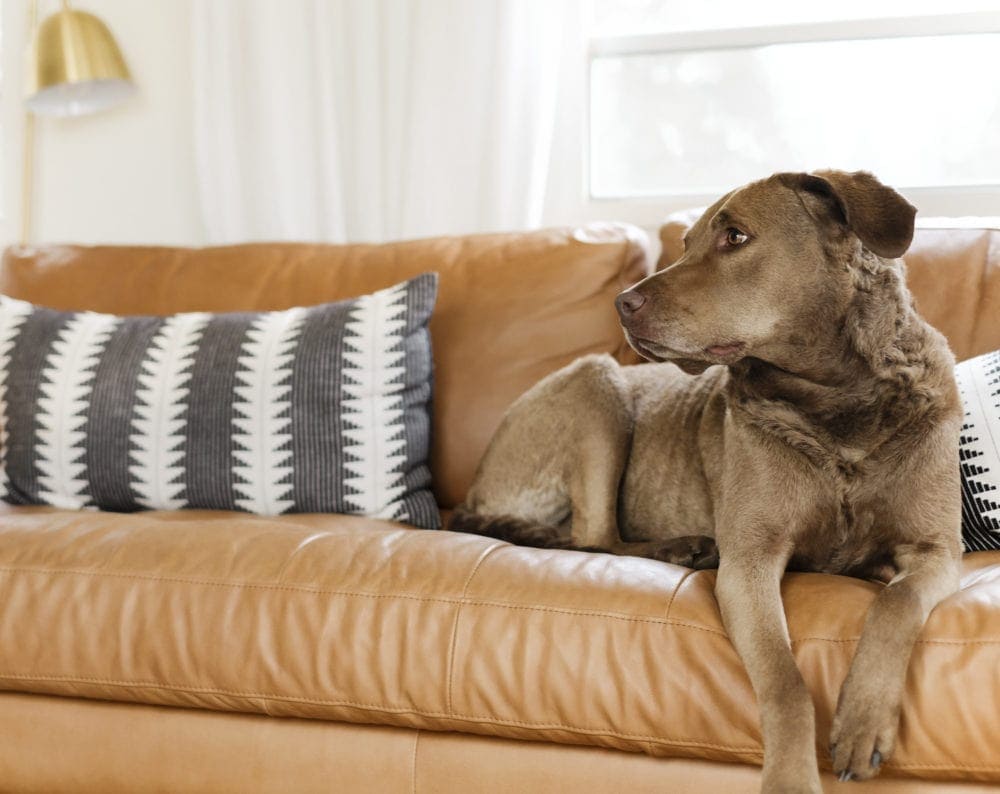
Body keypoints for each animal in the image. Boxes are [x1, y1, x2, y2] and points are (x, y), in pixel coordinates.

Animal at [452, 170, 960, 788]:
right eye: (687, 242)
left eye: (734, 237)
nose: (622, 302)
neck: (836, 402)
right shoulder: (750, 564)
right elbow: (786, 682)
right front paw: (791, 778)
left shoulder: (937, 551)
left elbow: (895, 602)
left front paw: (863, 721)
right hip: (596, 379)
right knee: (594, 538)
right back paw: (684, 547)